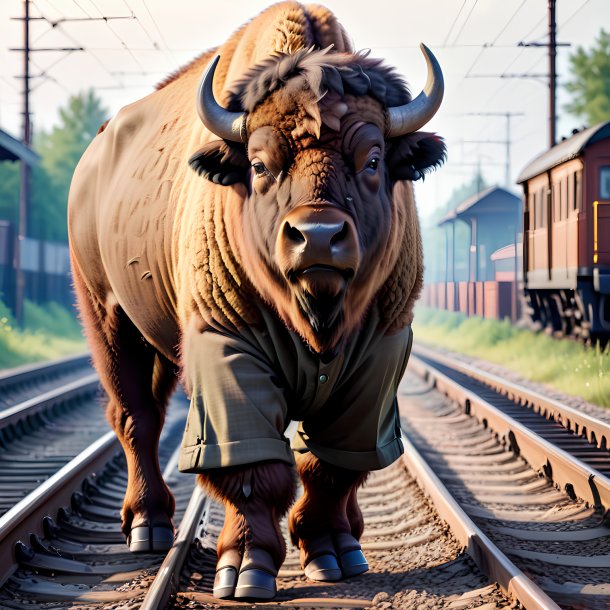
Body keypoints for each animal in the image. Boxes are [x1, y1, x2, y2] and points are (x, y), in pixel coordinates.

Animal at [69, 0, 444, 600]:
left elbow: (332, 463)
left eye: (372, 160)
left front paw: (335, 553)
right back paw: (148, 526)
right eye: (261, 165)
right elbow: (250, 467)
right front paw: (245, 568)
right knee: (136, 417)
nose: (317, 236)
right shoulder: (225, 348)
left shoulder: (378, 356)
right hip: (107, 314)